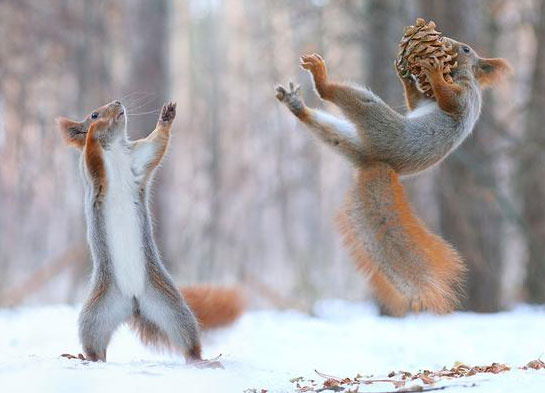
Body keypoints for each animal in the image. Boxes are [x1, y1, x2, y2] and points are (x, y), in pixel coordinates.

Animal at [57, 99, 242, 362]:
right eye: (93, 114)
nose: (118, 103)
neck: (114, 148)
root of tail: (133, 303)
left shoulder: (138, 158)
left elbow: (157, 144)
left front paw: (167, 116)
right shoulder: (91, 172)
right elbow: (92, 154)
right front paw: (94, 131)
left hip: (171, 307)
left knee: (187, 340)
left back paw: (202, 360)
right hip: (95, 315)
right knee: (95, 347)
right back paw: (84, 358)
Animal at [276, 21, 510, 316]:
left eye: (466, 49)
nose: (446, 41)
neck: (460, 74)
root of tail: (377, 162)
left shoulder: (464, 98)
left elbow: (449, 100)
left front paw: (433, 72)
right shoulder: (425, 101)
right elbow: (415, 102)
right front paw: (405, 75)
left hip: (377, 121)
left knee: (339, 96)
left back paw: (321, 79)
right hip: (349, 140)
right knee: (327, 130)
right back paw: (297, 105)